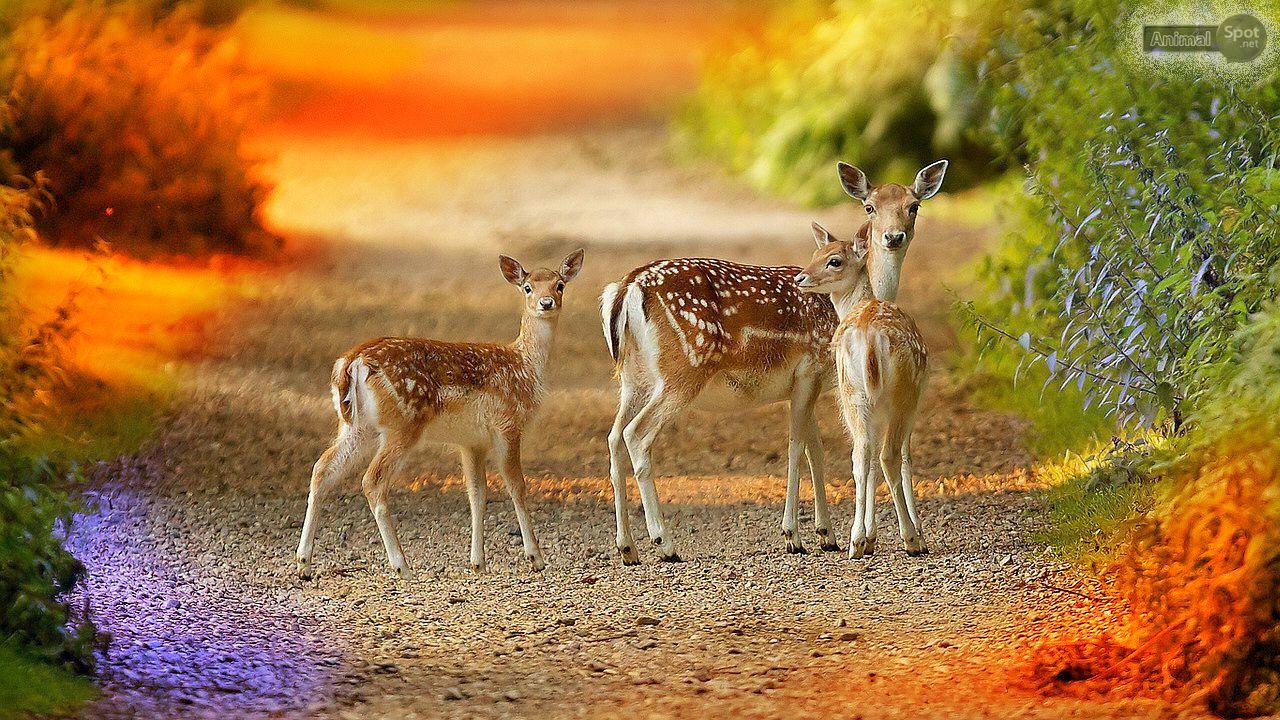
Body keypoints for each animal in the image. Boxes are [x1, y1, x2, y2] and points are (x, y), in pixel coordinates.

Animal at [295, 249, 585, 579]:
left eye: (560, 285)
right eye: (527, 287)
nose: (546, 303)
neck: (525, 366)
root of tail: (351, 363)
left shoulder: (471, 441)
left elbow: (477, 493)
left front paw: (477, 562)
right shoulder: (508, 424)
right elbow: (517, 486)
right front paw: (536, 558)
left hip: (356, 426)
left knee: (322, 468)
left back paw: (304, 563)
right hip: (403, 423)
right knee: (372, 480)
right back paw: (402, 565)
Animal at [795, 222, 928, 558]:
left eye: (833, 260)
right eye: (815, 254)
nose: (800, 277)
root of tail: (870, 339)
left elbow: (866, 462)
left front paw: (869, 537)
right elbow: (905, 458)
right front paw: (913, 534)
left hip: (852, 393)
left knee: (861, 455)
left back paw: (855, 541)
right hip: (901, 394)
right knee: (888, 455)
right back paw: (910, 539)